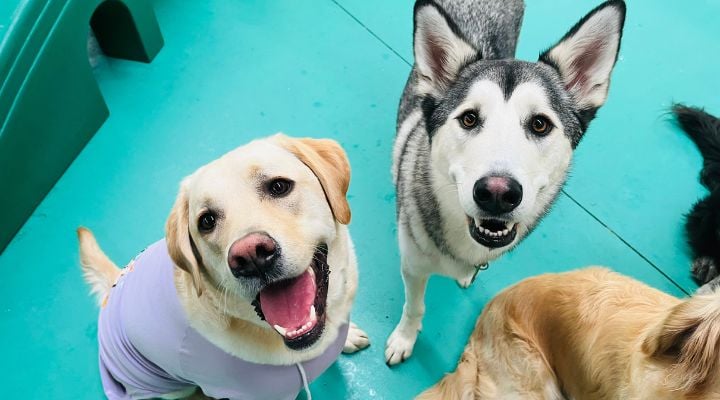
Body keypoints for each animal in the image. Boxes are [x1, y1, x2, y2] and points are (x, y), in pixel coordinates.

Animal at [386, 0, 628, 364]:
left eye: (540, 124)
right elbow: (414, 307)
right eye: (469, 118)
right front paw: (404, 338)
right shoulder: (412, 267)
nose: (497, 194)